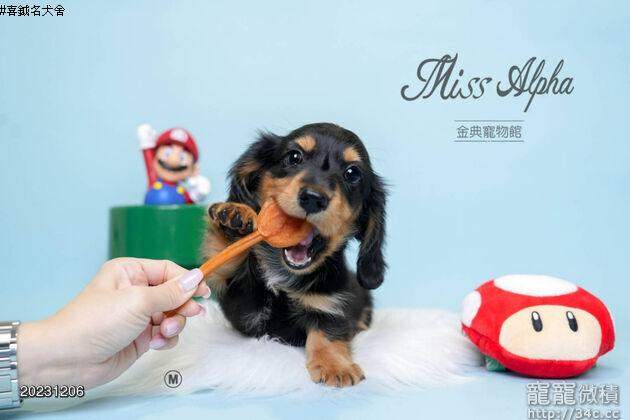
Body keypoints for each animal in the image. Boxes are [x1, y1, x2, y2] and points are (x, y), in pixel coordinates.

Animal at [204, 123, 387, 387]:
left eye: (352, 173)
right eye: (294, 157)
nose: (313, 198)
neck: (283, 275)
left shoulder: (332, 305)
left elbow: (328, 333)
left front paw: (335, 366)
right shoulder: (237, 298)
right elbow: (225, 256)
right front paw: (235, 217)